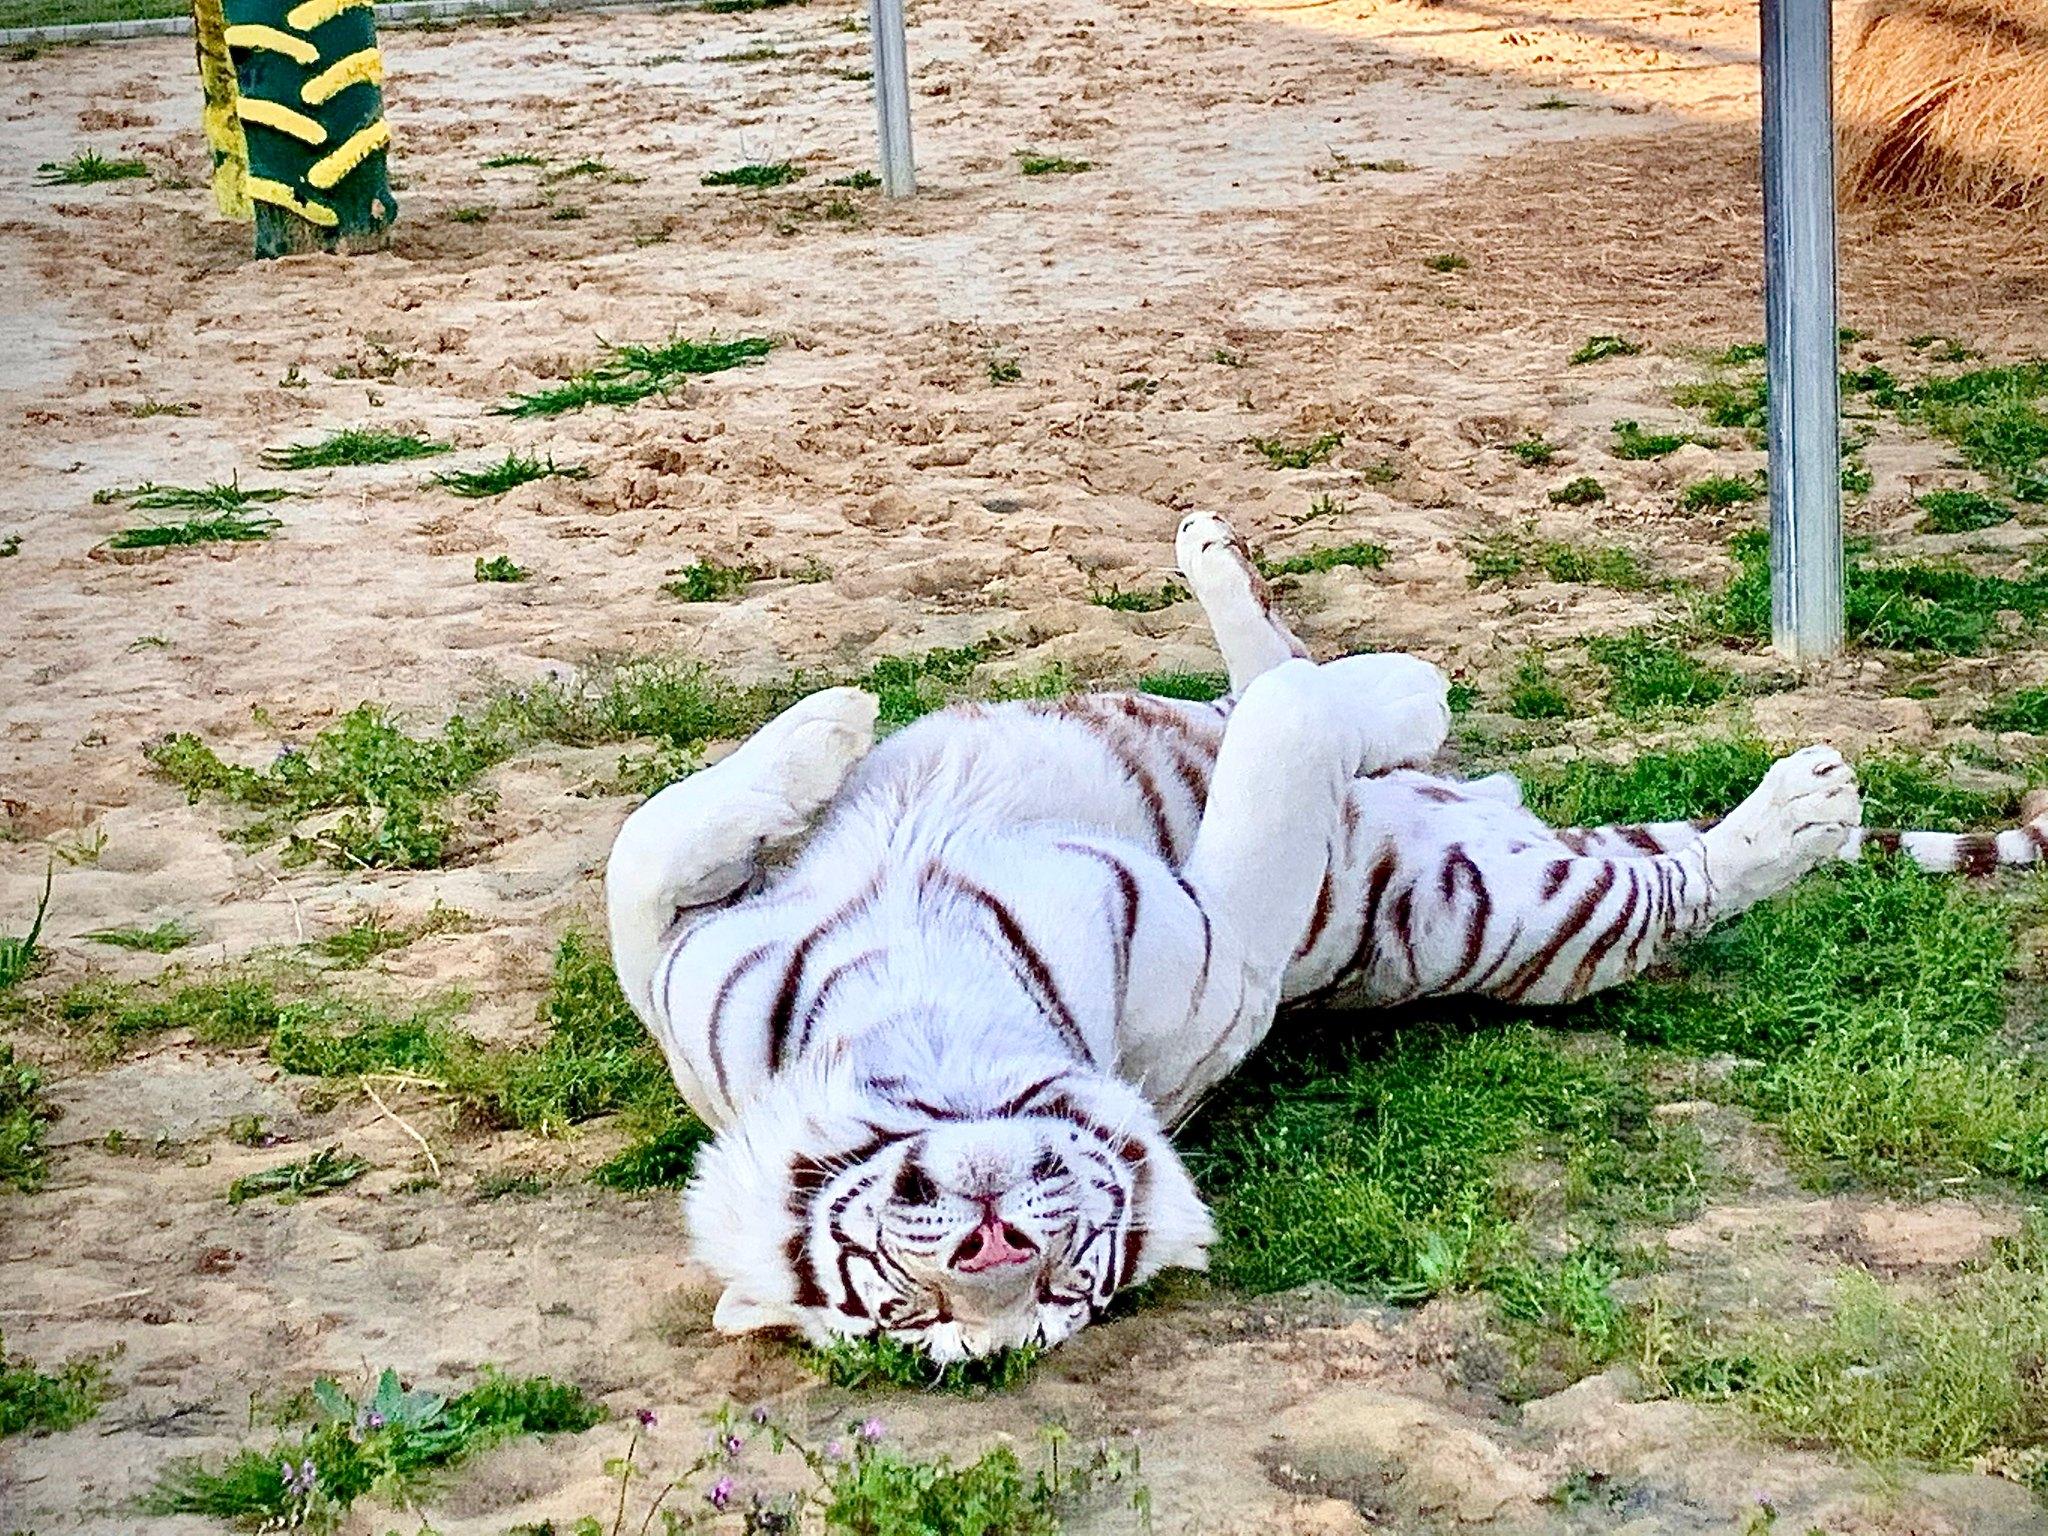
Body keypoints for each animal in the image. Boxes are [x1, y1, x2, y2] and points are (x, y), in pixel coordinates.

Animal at [606, 514, 2048, 1359]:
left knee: (1299, 680)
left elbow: (638, 854)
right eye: (927, 1313)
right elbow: (1285, 751)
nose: (1003, 1252)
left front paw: (833, 719)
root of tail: (1511, 809)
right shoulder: (1235, 958)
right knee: (1671, 883)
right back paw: (1804, 805)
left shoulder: (691, 953)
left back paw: (1259, 591)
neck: (931, 1006)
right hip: (1518, 906)